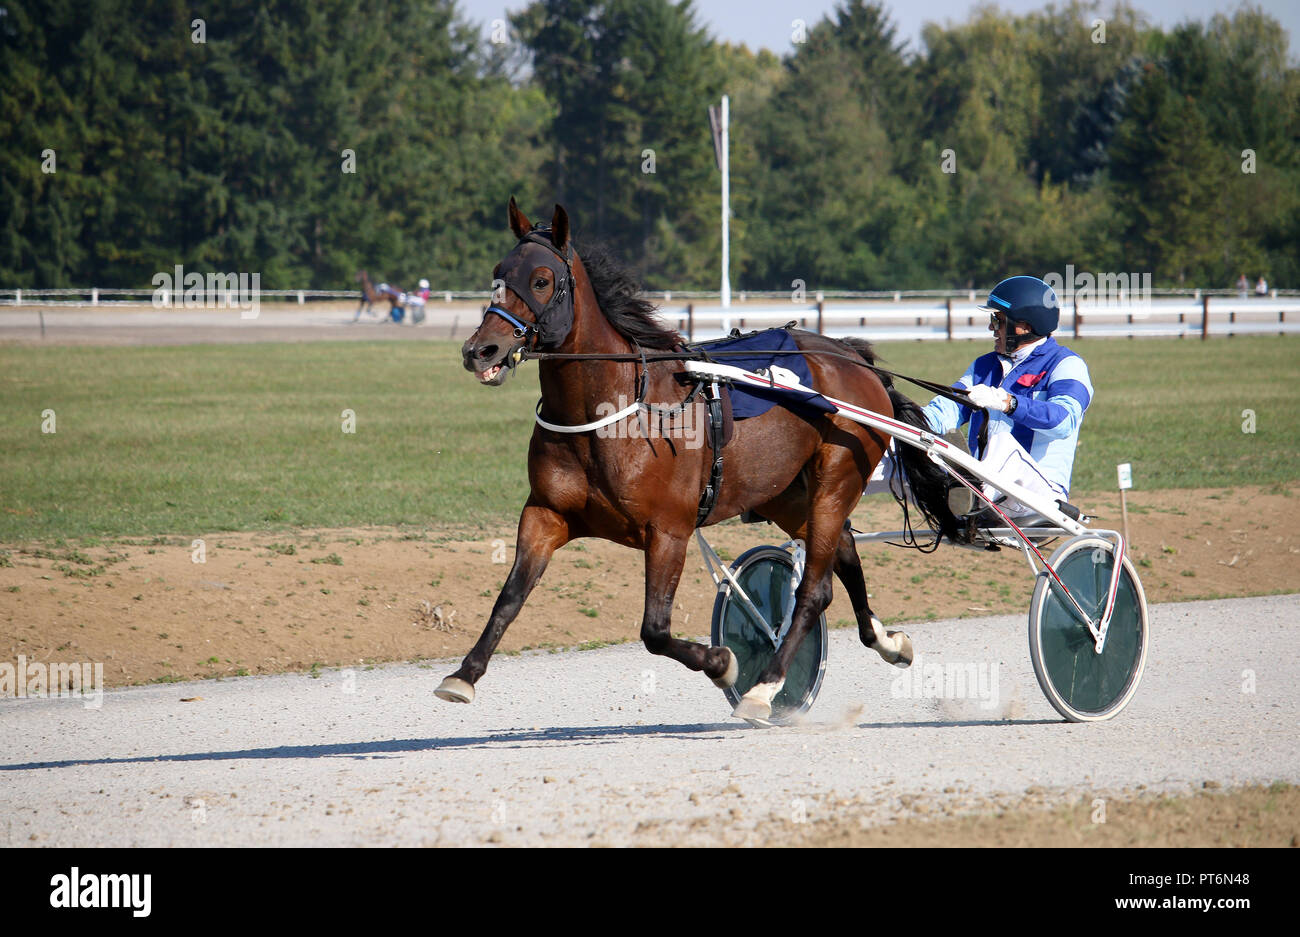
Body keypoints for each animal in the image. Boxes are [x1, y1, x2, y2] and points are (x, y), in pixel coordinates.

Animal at [440, 199, 958, 724]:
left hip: (835, 479)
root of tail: (852, 356)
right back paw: (888, 641)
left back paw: (766, 685)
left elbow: (654, 630)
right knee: (845, 555)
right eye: (498, 274)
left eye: (542, 280)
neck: (612, 412)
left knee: (814, 590)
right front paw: (463, 674)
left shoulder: (669, 530)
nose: (480, 349)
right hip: (785, 494)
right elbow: (509, 597)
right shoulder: (546, 513)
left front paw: (725, 664)